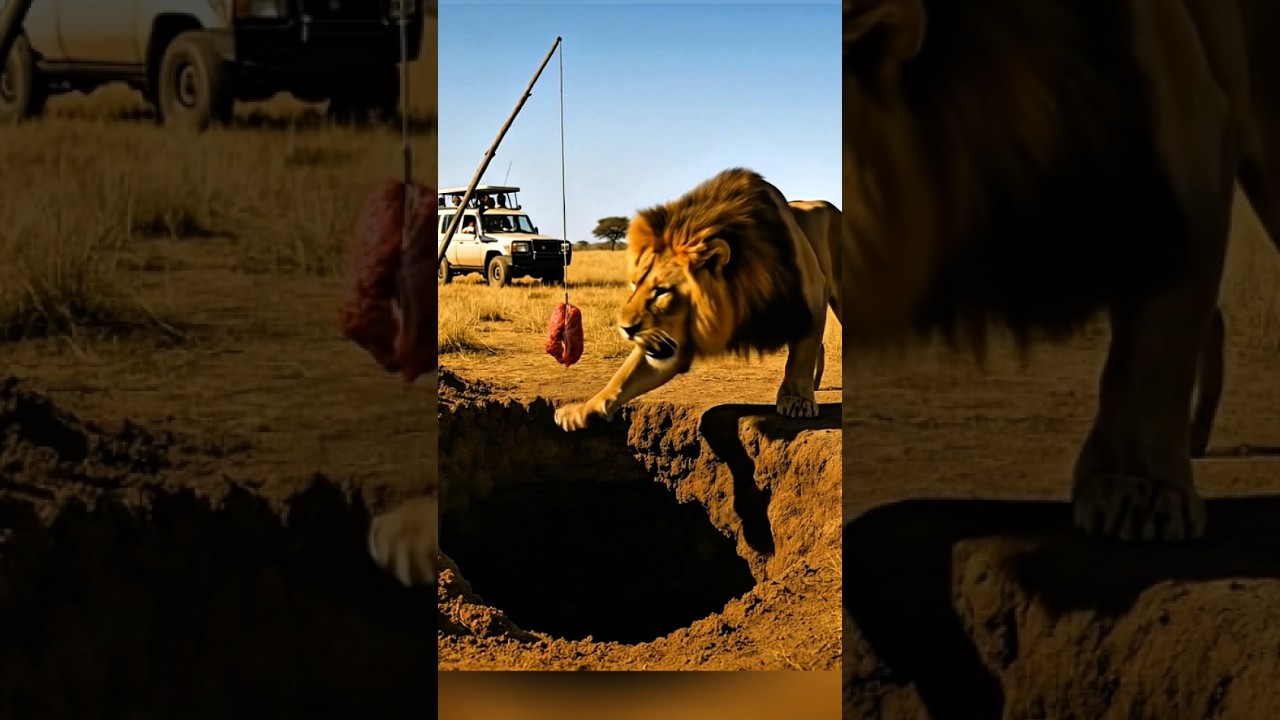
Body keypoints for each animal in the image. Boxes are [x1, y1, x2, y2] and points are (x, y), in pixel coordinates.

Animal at [553, 168, 844, 432]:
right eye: (635, 284)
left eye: (662, 291)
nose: (625, 329)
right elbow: (624, 378)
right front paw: (583, 411)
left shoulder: (812, 292)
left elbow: (801, 353)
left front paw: (797, 400)